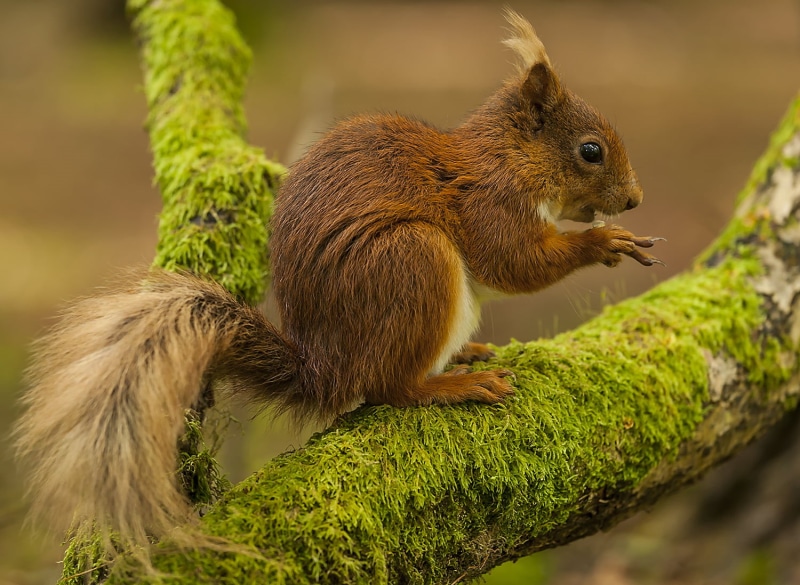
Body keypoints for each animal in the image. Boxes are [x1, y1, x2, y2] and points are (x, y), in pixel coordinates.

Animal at [15, 9, 661, 555]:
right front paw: (602, 243)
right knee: (388, 389)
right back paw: (453, 385)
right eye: (590, 151)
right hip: (413, 259)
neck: (509, 158)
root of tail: (327, 367)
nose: (635, 199)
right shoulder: (488, 204)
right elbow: (513, 263)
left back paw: (464, 354)